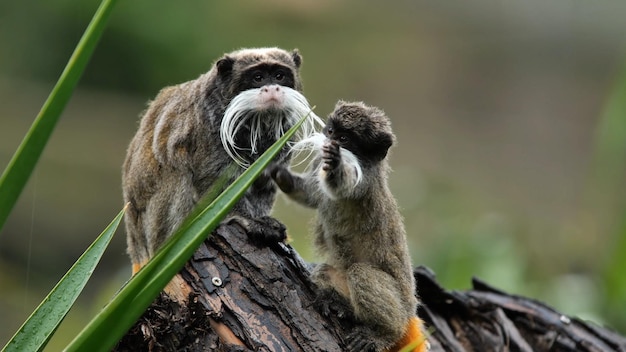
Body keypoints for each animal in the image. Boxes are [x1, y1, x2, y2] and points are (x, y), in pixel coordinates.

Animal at [121, 46, 320, 274]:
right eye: (258, 77)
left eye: (279, 76)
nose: (272, 88)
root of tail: (137, 247)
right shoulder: (208, 127)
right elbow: (215, 181)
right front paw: (248, 220)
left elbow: (263, 184)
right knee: (176, 173)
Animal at [270, 101, 426, 352]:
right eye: (331, 131)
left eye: (343, 138)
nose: (329, 141)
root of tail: (409, 314)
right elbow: (311, 195)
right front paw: (281, 175)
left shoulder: (363, 181)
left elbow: (340, 184)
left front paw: (335, 164)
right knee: (325, 270)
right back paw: (339, 305)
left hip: (401, 309)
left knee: (361, 273)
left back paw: (384, 334)